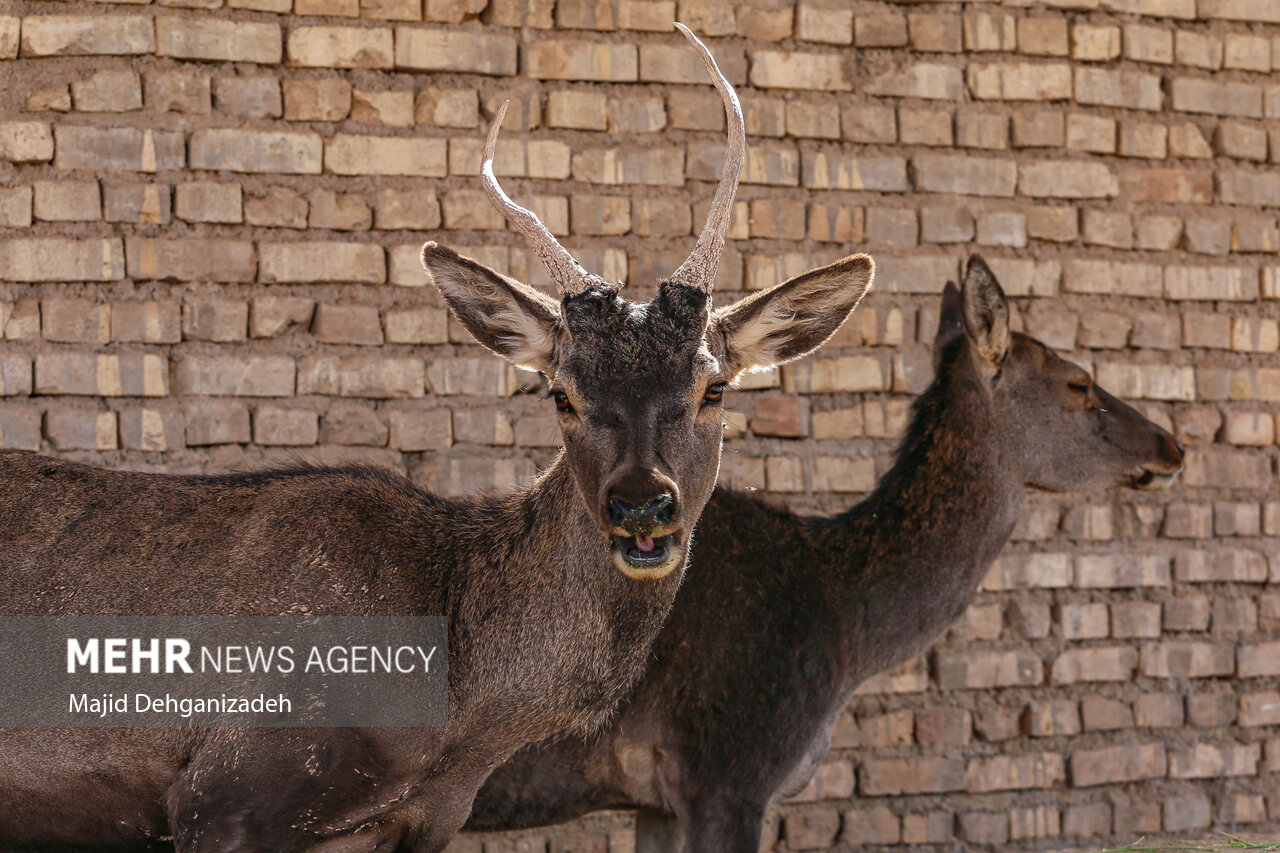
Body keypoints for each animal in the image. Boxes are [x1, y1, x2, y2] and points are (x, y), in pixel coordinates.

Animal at [0, 24, 875, 850]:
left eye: (713, 386)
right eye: (561, 392)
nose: (640, 505)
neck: (457, 730)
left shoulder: (421, 820)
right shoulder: (223, 794)